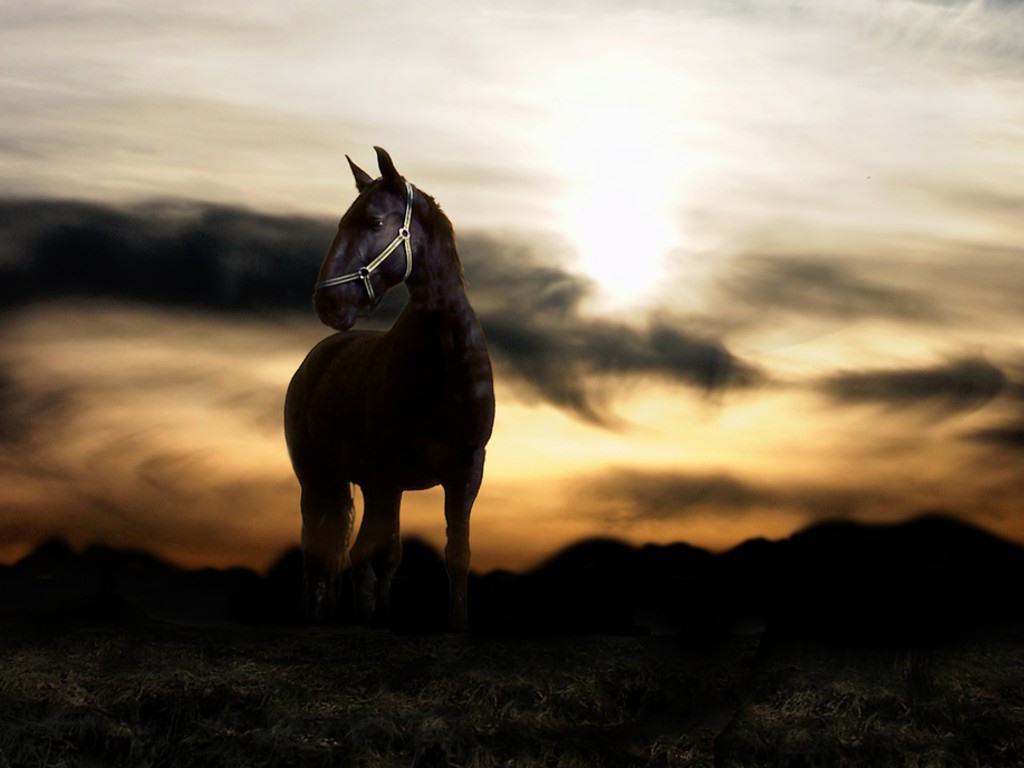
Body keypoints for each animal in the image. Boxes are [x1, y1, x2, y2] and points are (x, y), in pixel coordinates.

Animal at [284, 145, 495, 630]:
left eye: (375, 222)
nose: (327, 302)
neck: (444, 365)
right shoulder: (383, 475)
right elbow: (371, 555)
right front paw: (370, 622)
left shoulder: (464, 473)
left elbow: (454, 553)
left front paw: (455, 626)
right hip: (317, 477)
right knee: (319, 552)